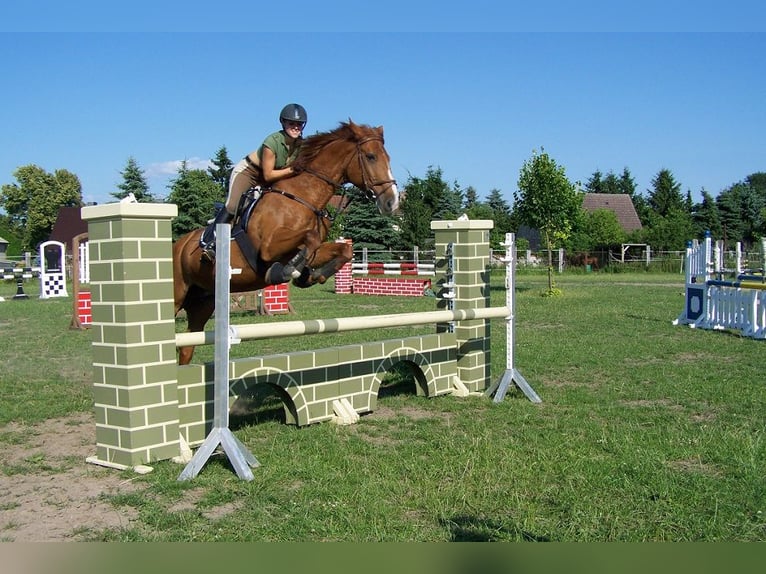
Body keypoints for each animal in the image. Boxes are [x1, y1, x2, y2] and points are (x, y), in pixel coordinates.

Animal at [172, 120, 402, 364]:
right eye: (371, 156)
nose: (392, 202)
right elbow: (309, 238)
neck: (304, 196)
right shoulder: (268, 248)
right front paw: (287, 271)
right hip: (177, 296)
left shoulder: (313, 248)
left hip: (202, 302)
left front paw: (311, 275)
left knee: (187, 347)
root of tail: (178, 245)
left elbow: (343, 250)